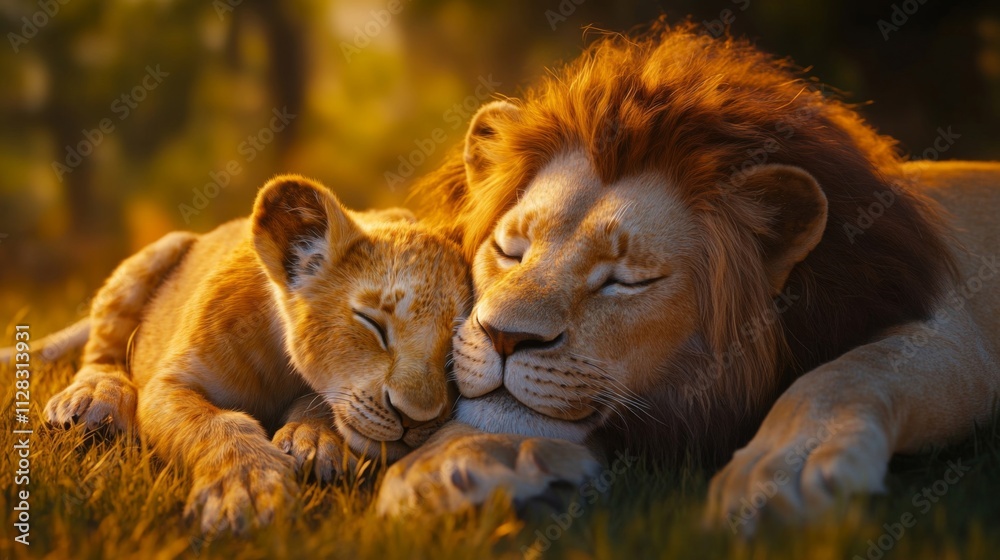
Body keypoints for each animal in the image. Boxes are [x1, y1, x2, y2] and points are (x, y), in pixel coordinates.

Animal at [42, 175, 471, 533]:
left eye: (453, 351)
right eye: (372, 323)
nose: (415, 420)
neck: (282, 363)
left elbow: (319, 406)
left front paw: (313, 441)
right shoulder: (168, 384)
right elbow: (214, 424)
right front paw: (247, 488)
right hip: (160, 250)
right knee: (101, 353)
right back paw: (94, 396)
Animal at [374, 22, 1000, 532]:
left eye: (627, 281)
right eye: (510, 251)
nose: (504, 336)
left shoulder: (948, 331)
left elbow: (843, 374)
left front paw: (778, 474)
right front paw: (450, 460)